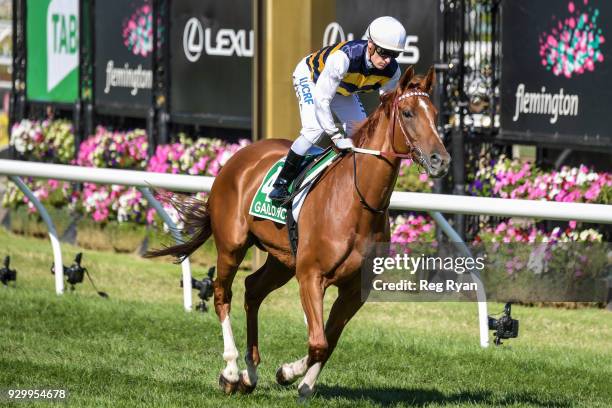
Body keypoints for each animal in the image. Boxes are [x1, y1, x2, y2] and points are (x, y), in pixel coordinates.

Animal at [146, 66, 452, 398]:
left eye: (435, 114)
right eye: (408, 113)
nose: (440, 159)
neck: (357, 202)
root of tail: (241, 155)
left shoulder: (354, 289)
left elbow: (328, 342)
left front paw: (302, 383)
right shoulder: (311, 276)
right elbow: (318, 343)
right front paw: (287, 372)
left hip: (282, 259)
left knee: (253, 289)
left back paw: (249, 374)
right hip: (232, 245)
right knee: (221, 294)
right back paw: (230, 371)